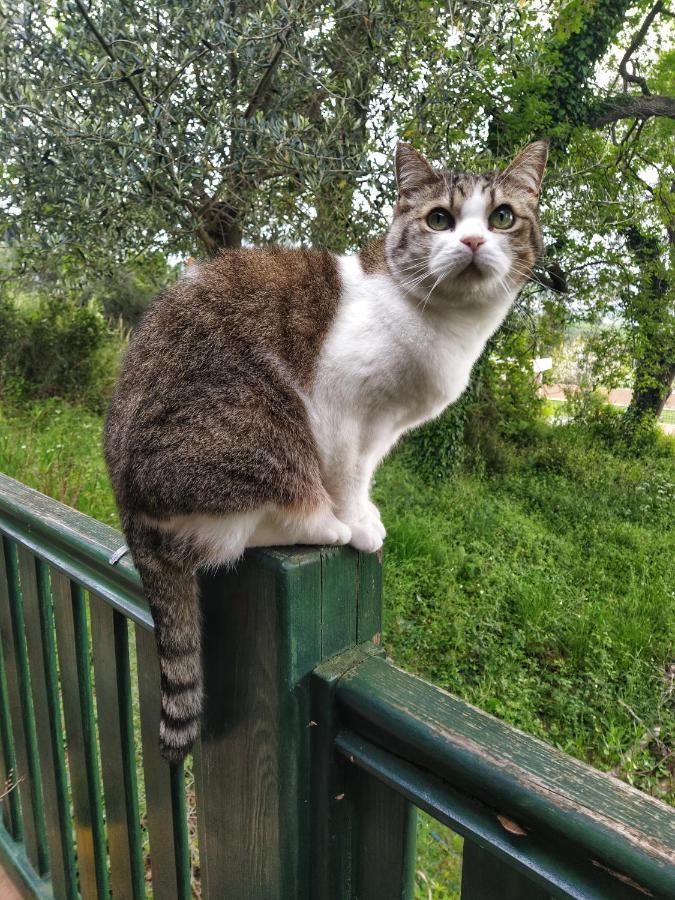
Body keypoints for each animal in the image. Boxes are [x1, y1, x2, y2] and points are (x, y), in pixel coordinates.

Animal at [104, 139, 548, 760]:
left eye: (502, 217)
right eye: (440, 219)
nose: (473, 242)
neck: (442, 324)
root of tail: (125, 507)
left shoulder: (384, 429)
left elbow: (365, 473)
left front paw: (366, 513)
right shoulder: (342, 408)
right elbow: (348, 476)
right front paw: (358, 524)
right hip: (257, 427)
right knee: (239, 529)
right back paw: (321, 523)